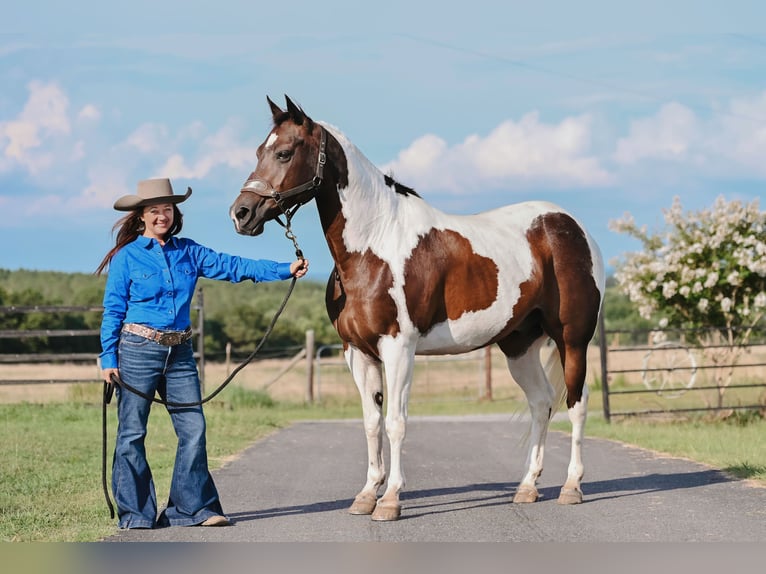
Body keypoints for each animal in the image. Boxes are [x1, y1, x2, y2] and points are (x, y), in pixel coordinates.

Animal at [228, 97, 608, 524]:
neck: (374, 244)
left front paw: (390, 500)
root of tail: (572, 227)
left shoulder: (398, 348)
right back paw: (527, 487)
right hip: (519, 345)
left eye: (283, 152)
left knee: (577, 403)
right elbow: (371, 423)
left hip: (572, 340)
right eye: (258, 152)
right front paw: (366, 495)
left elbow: (396, 422)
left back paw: (572, 487)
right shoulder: (357, 352)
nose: (241, 214)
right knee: (542, 402)